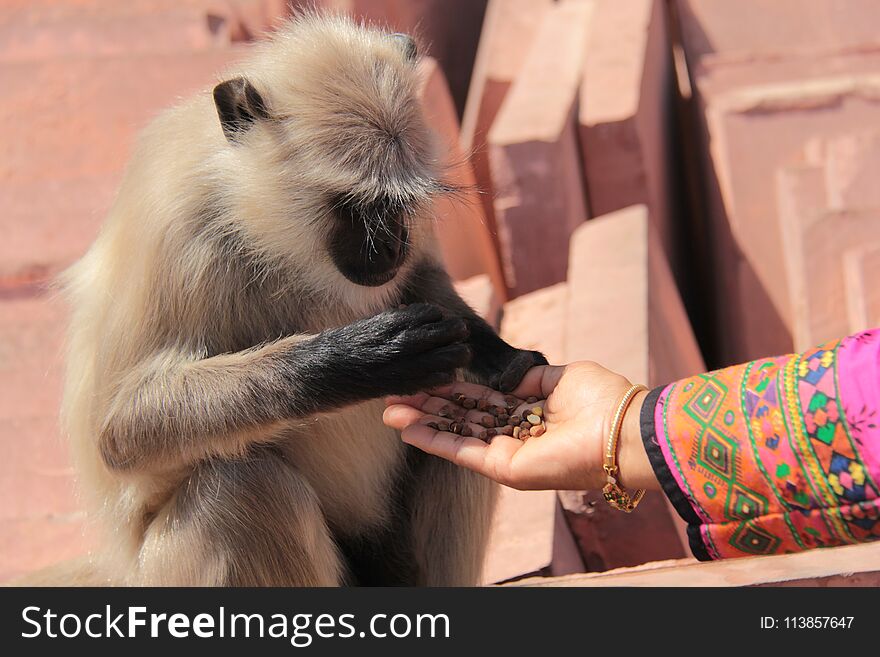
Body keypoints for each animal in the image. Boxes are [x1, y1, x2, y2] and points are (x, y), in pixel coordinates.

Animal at [53, 11, 544, 584]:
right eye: (356, 207)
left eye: (398, 205)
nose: (392, 244)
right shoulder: (179, 233)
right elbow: (120, 430)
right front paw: (361, 361)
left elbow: (430, 289)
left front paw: (497, 353)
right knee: (243, 489)